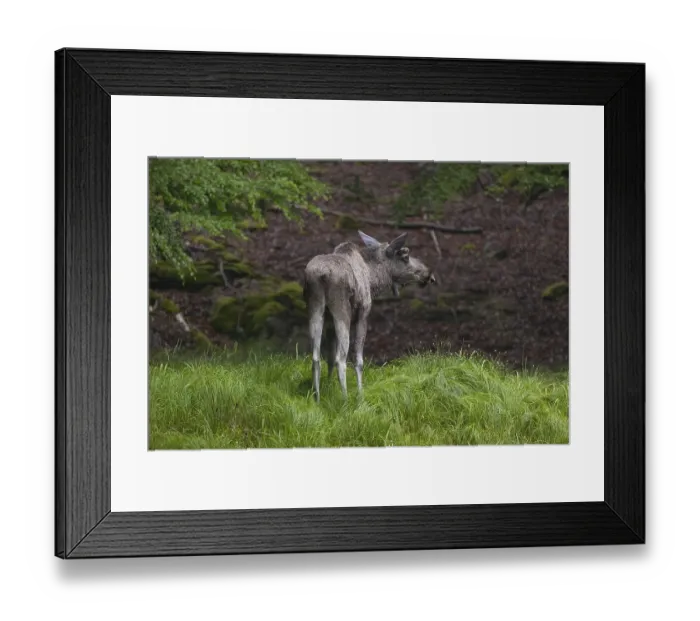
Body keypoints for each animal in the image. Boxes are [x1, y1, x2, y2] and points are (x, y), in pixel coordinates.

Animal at [303, 230, 436, 402]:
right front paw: (360, 395)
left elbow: (329, 358)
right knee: (341, 359)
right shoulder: (362, 315)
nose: (429, 274)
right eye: (405, 255)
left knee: (316, 357)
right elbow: (358, 360)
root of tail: (321, 275)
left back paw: (317, 398)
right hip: (342, 312)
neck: (373, 280)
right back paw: (345, 400)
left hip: (315, 309)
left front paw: (329, 387)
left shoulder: (329, 323)